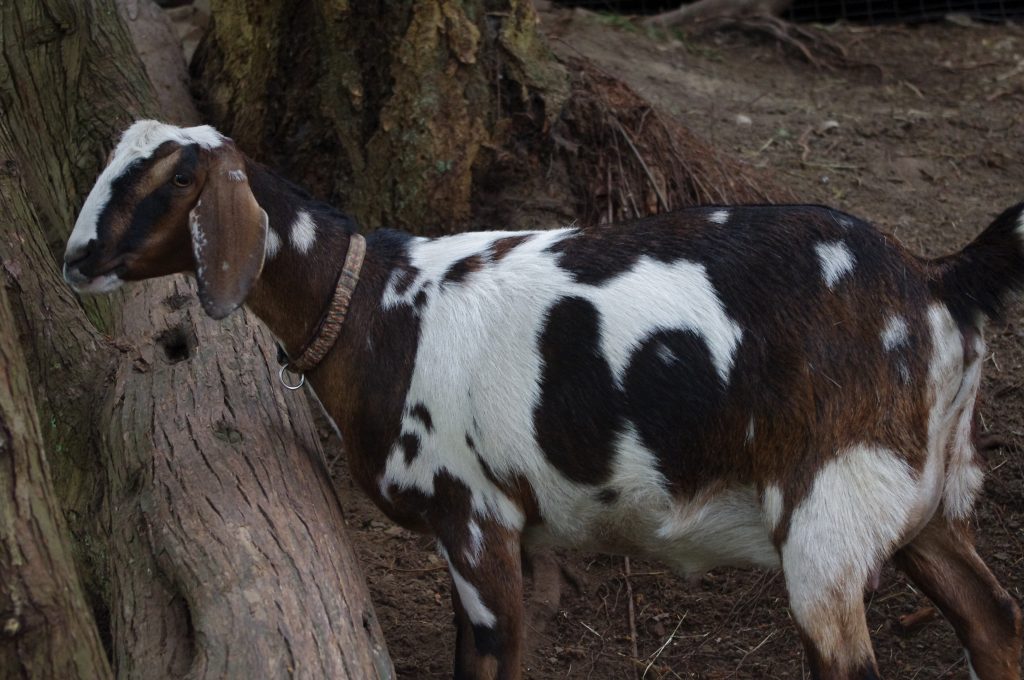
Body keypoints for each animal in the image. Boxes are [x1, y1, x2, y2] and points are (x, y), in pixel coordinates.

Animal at [64, 122, 1024, 680]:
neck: (383, 308)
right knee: (995, 623)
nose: (73, 259)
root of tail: (937, 280)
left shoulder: (477, 520)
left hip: (831, 513)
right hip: (927, 500)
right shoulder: (478, 541)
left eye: (168, 181)